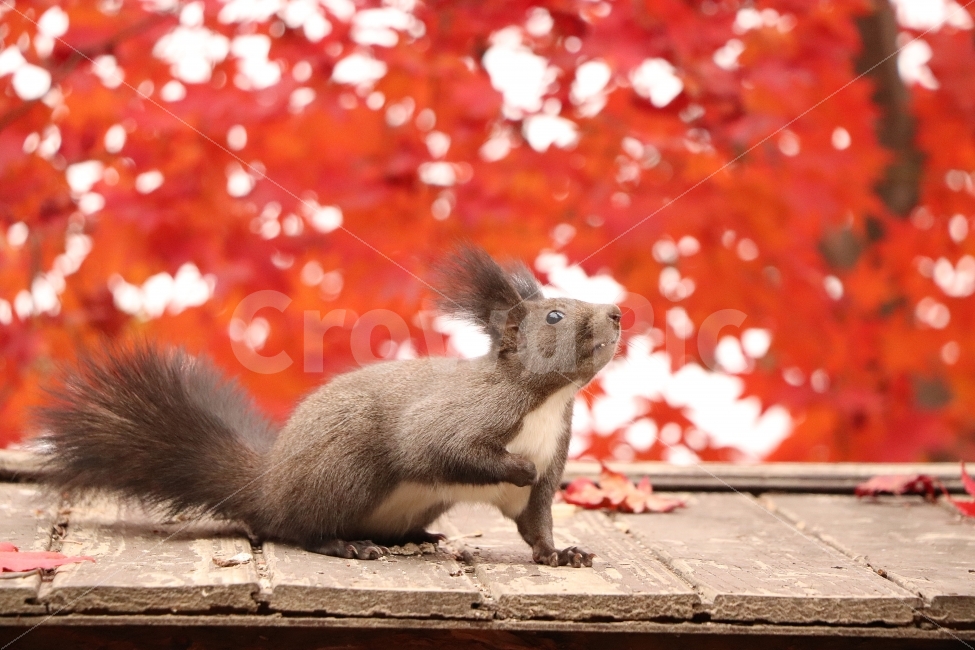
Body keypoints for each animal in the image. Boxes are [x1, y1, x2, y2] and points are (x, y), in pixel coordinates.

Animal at [36, 247, 622, 568]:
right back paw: (346, 545)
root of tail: (269, 490)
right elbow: (439, 449)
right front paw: (516, 467)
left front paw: (562, 554)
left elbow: (536, 525)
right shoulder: (462, 415)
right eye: (554, 316)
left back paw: (421, 538)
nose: (616, 312)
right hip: (345, 471)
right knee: (302, 531)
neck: (547, 399)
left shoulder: (549, 468)